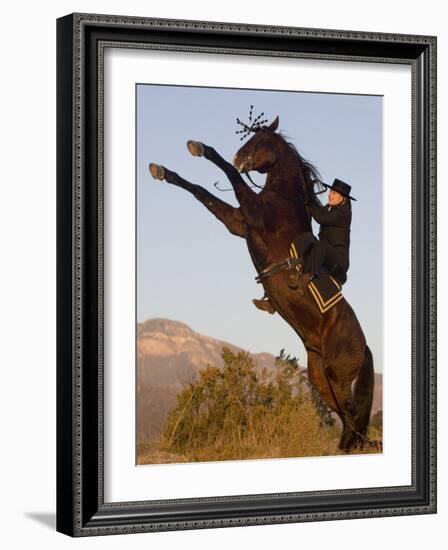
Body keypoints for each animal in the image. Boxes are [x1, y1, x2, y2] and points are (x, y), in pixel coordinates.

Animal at [150, 115, 374, 452]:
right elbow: (201, 192)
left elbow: (228, 177)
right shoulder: (238, 222)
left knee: (351, 419)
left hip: (337, 373)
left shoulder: (252, 215)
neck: (283, 201)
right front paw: (163, 171)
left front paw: (202, 149)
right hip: (321, 378)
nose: (239, 158)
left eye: (262, 141)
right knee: (347, 418)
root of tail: (365, 346)